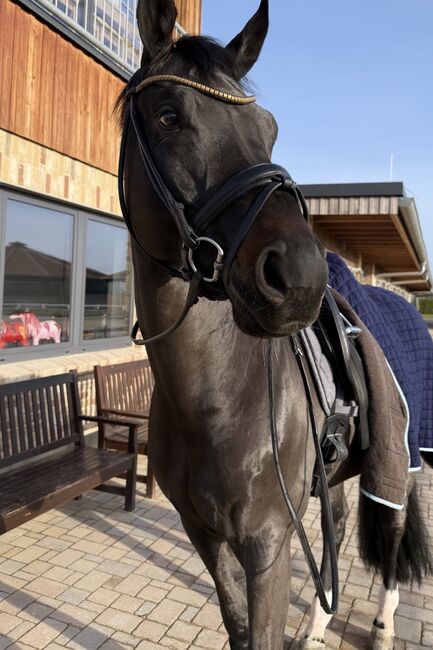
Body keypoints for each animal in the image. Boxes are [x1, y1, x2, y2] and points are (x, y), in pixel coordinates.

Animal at [116, 1, 433, 648]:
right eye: (168, 116)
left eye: (269, 129)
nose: (300, 277)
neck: (214, 400)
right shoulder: (205, 536)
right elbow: (238, 626)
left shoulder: (267, 546)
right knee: (340, 525)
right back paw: (316, 625)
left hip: (402, 458)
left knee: (391, 535)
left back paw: (383, 623)